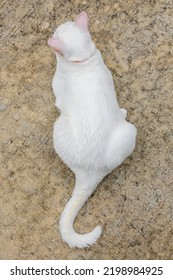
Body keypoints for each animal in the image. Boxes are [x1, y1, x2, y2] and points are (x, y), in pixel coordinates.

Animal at [47, 10, 137, 248]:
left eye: (57, 31)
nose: (54, 30)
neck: (82, 61)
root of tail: (89, 172)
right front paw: (121, 111)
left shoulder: (58, 91)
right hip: (128, 131)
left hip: (59, 125)